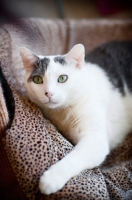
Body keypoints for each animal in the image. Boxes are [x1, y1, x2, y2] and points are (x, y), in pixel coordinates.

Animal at [19, 41, 132, 195]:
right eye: (37, 80)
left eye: (62, 78)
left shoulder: (95, 139)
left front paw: (52, 178)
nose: (49, 93)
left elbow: (74, 158)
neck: (62, 112)